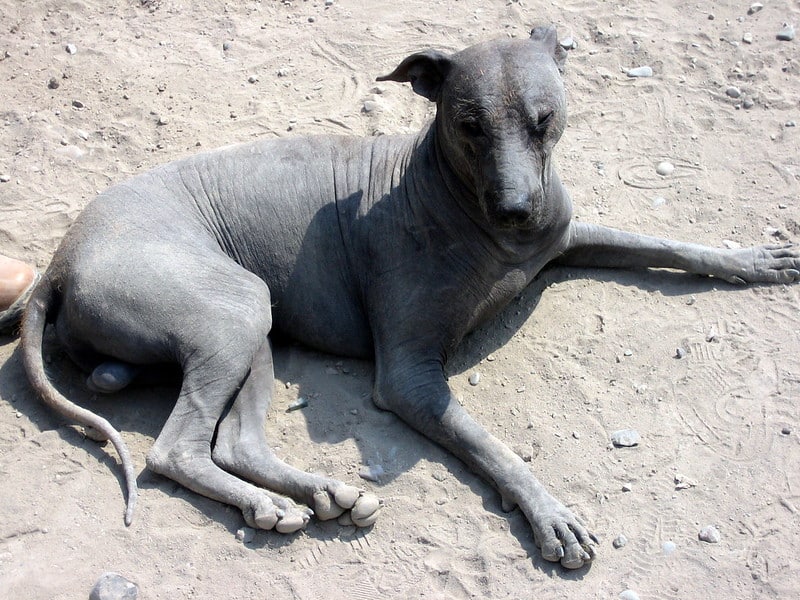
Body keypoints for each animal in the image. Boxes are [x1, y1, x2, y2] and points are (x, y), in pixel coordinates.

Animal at [18, 25, 800, 568]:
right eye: (469, 124)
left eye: (543, 119)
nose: (518, 209)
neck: (475, 216)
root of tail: (57, 263)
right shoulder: (410, 376)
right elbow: (490, 443)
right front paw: (547, 512)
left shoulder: (568, 236)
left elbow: (666, 244)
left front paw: (754, 260)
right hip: (230, 310)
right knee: (175, 450)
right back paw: (271, 504)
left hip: (252, 324)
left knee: (234, 441)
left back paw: (323, 494)